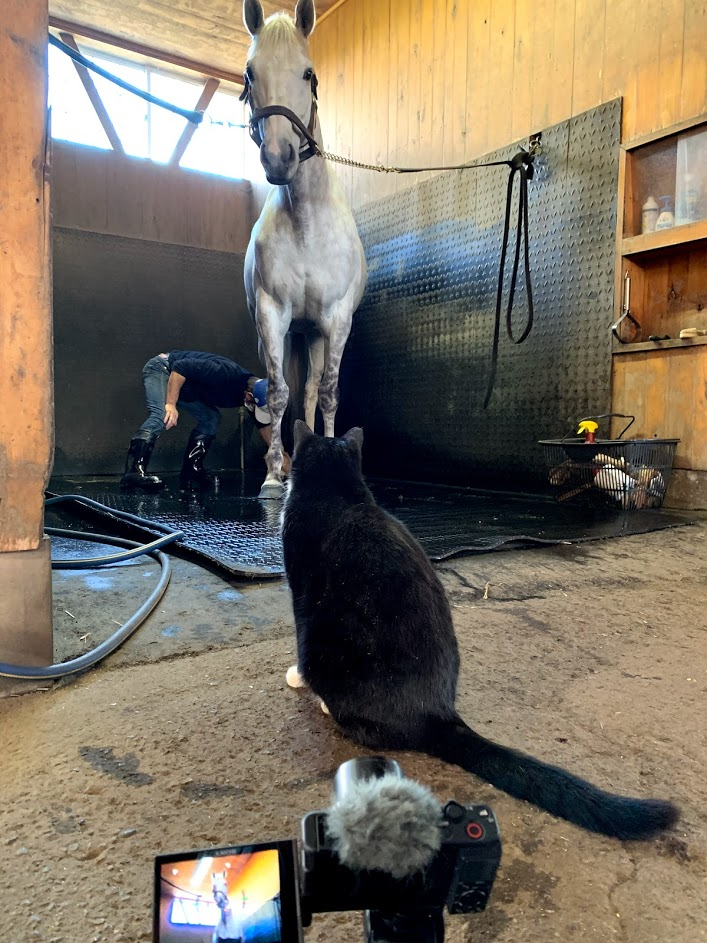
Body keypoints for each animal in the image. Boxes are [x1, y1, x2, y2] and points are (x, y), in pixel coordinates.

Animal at [282, 422, 680, 840]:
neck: (339, 494)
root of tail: (437, 714)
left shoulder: (299, 587)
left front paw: (296, 677)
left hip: (325, 646)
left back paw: (323, 701)